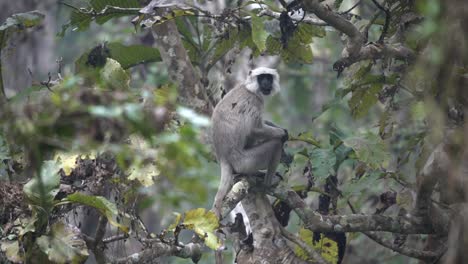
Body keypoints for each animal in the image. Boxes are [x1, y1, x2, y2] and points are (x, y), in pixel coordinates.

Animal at [211, 67, 286, 218]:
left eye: (268, 78)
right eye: (262, 78)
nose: (266, 83)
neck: (248, 87)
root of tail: (223, 157)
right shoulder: (254, 100)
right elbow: (254, 129)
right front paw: (283, 134)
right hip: (245, 161)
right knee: (275, 144)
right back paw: (266, 186)